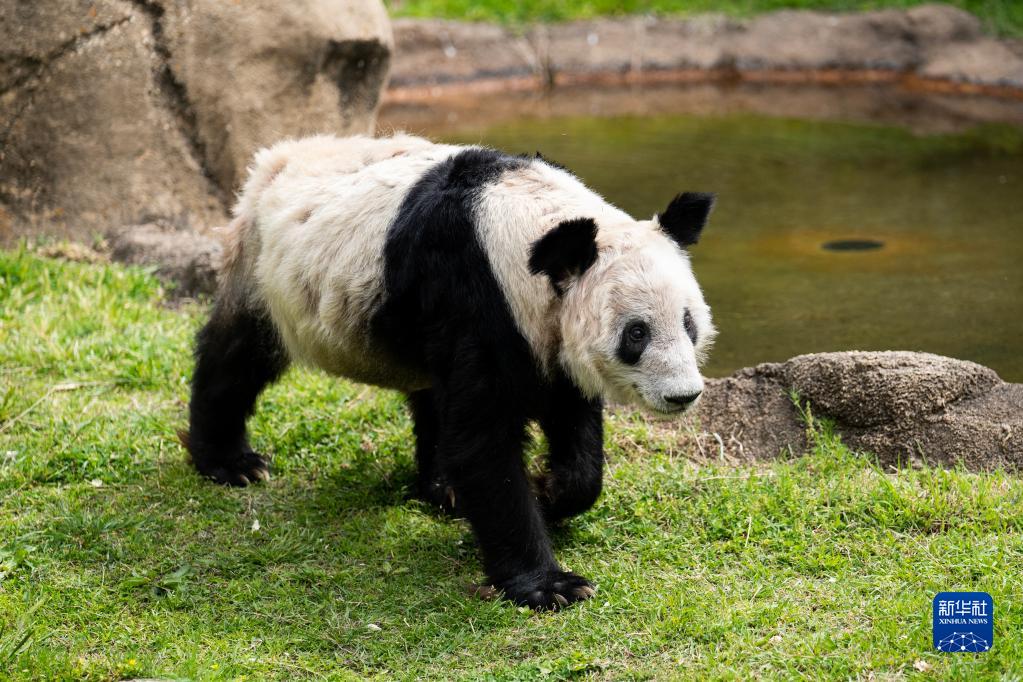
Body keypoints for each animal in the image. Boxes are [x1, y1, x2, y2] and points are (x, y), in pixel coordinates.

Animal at [184, 130, 716, 609]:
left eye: (688, 322)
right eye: (636, 333)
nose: (683, 395)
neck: (522, 222)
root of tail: (277, 155)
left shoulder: (541, 329)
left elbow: (571, 422)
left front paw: (551, 491)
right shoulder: (475, 293)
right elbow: (483, 442)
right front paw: (549, 584)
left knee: (434, 395)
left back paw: (443, 489)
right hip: (262, 267)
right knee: (237, 356)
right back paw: (230, 462)